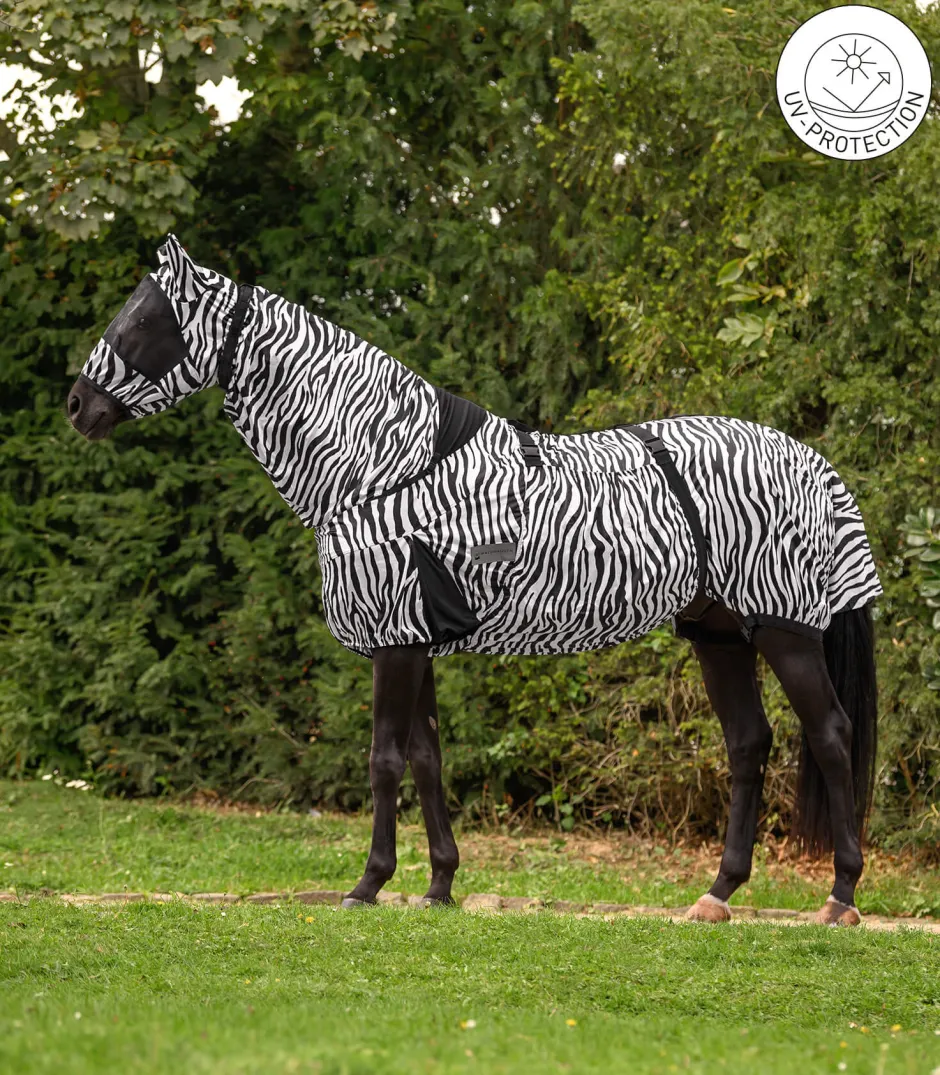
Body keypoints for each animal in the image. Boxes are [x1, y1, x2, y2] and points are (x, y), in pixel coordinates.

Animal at [67, 234, 883, 925]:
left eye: (145, 318)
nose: (78, 406)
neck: (381, 467)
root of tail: (812, 461)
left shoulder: (395, 642)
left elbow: (384, 760)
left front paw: (368, 884)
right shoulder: (414, 640)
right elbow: (427, 761)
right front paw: (438, 885)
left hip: (784, 630)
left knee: (831, 735)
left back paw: (841, 896)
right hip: (718, 634)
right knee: (749, 743)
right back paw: (717, 894)